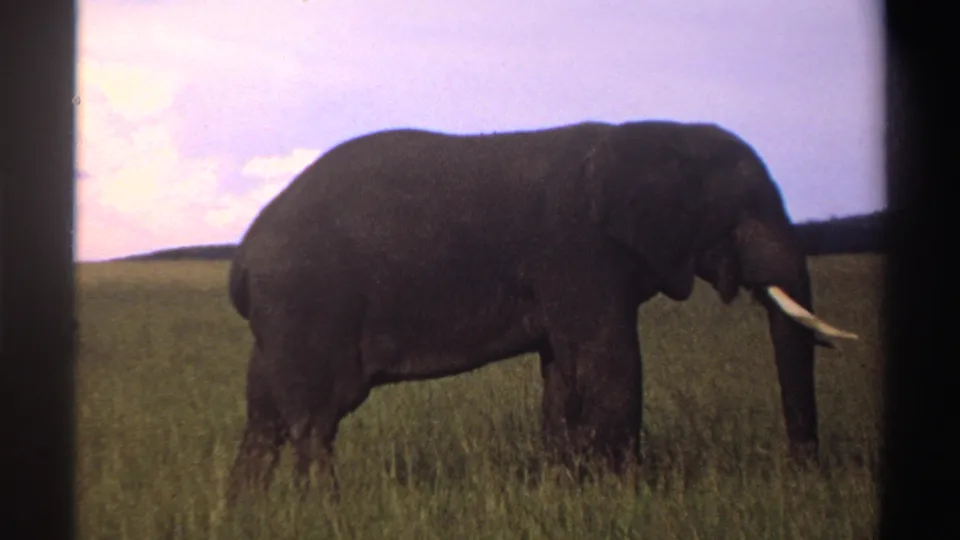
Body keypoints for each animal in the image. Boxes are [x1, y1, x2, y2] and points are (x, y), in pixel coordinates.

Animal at [224, 119, 857, 502]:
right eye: (747, 208)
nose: (804, 478)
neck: (654, 134)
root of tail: (243, 255)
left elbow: (564, 375)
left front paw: (567, 490)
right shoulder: (581, 251)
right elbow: (611, 364)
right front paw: (628, 499)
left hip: (277, 323)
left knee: (264, 421)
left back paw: (250, 510)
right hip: (305, 306)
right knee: (315, 422)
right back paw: (324, 510)